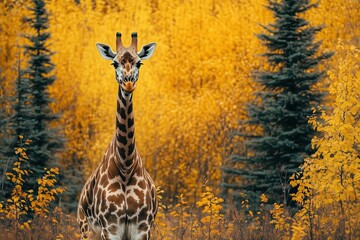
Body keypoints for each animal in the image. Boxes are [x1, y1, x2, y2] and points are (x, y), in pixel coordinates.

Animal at [77, 32, 158, 240]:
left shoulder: (142, 228)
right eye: (114, 63)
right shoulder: (110, 228)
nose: (128, 83)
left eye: (139, 63)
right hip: (85, 229)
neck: (125, 165)